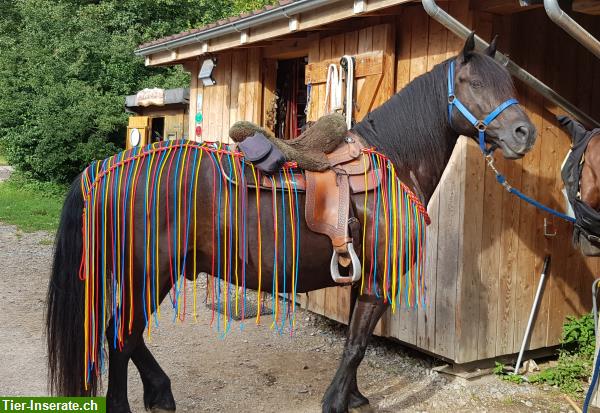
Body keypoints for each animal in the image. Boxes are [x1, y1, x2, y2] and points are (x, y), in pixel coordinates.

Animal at [47, 33, 536, 412]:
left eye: (510, 82)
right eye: (474, 83)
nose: (524, 134)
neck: (394, 164)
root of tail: (108, 167)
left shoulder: (362, 278)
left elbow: (353, 341)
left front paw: (353, 396)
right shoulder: (380, 281)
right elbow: (357, 344)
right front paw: (335, 402)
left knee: (126, 337)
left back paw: (161, 393)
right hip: (148, 273)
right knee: (121, 337)